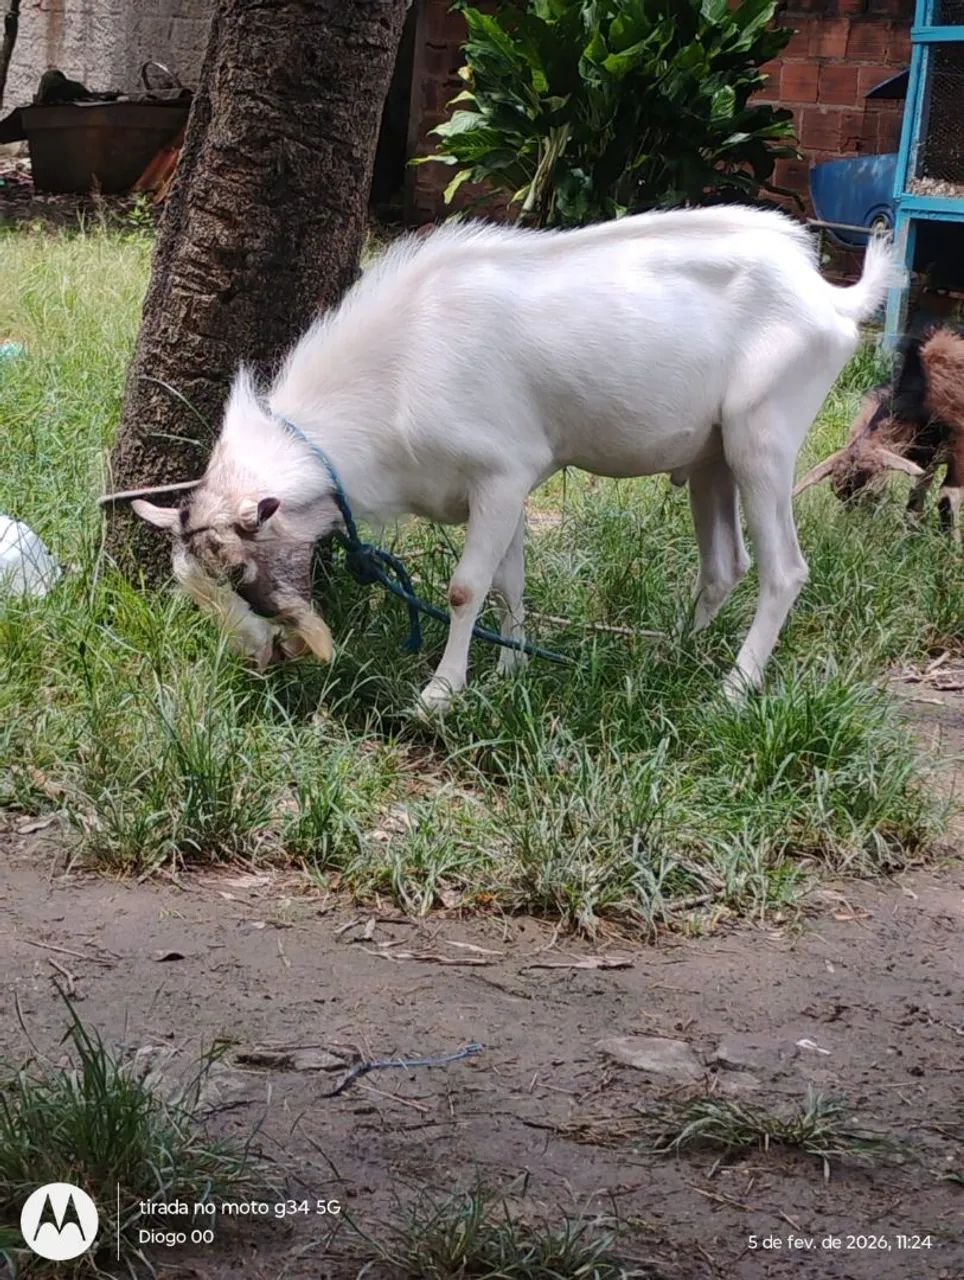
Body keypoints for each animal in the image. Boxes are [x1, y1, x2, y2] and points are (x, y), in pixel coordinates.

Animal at [132, 206, 894, 713]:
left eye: (241, 574)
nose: (259, 658)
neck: (400, 364)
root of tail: (829, 295)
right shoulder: (502, 491)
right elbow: (509, 582)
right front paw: (509, 670)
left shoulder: (501, 472)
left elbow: (466, 587)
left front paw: (441, 692)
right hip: (712, 457)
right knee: (724, 564)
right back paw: (669, 656)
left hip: (762, 435)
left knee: (783, 570)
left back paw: (733, 691)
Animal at [794, 327, 964, 540]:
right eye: (838, 494)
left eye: (872, 491)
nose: (853, 530)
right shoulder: (925, 453)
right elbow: (916, 495)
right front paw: (908, 537)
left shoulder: (958, 449)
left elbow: (948, 495)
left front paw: (951, 545)